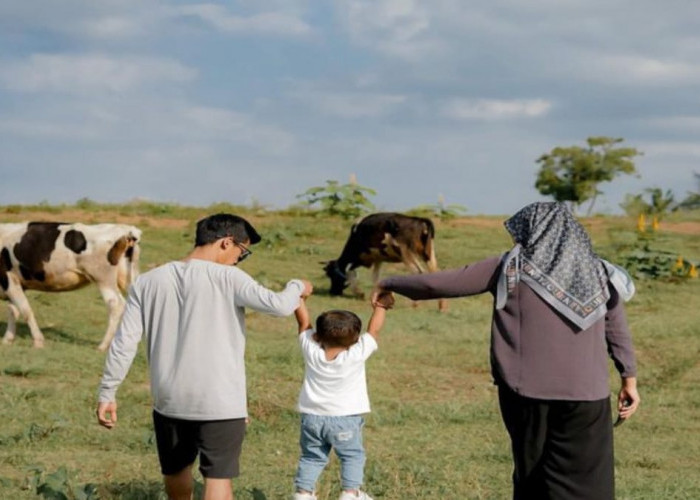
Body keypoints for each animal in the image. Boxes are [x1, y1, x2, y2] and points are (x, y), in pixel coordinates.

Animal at [0, 222, 142, 348]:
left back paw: (103, 346)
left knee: (116, 305)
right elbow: (13, 311)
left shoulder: (8, 279)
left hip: (104, 279)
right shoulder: (16, 284)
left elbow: (25, 310)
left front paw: (38, 341)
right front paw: (7, 339)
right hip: (126, 277)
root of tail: (127, 230)